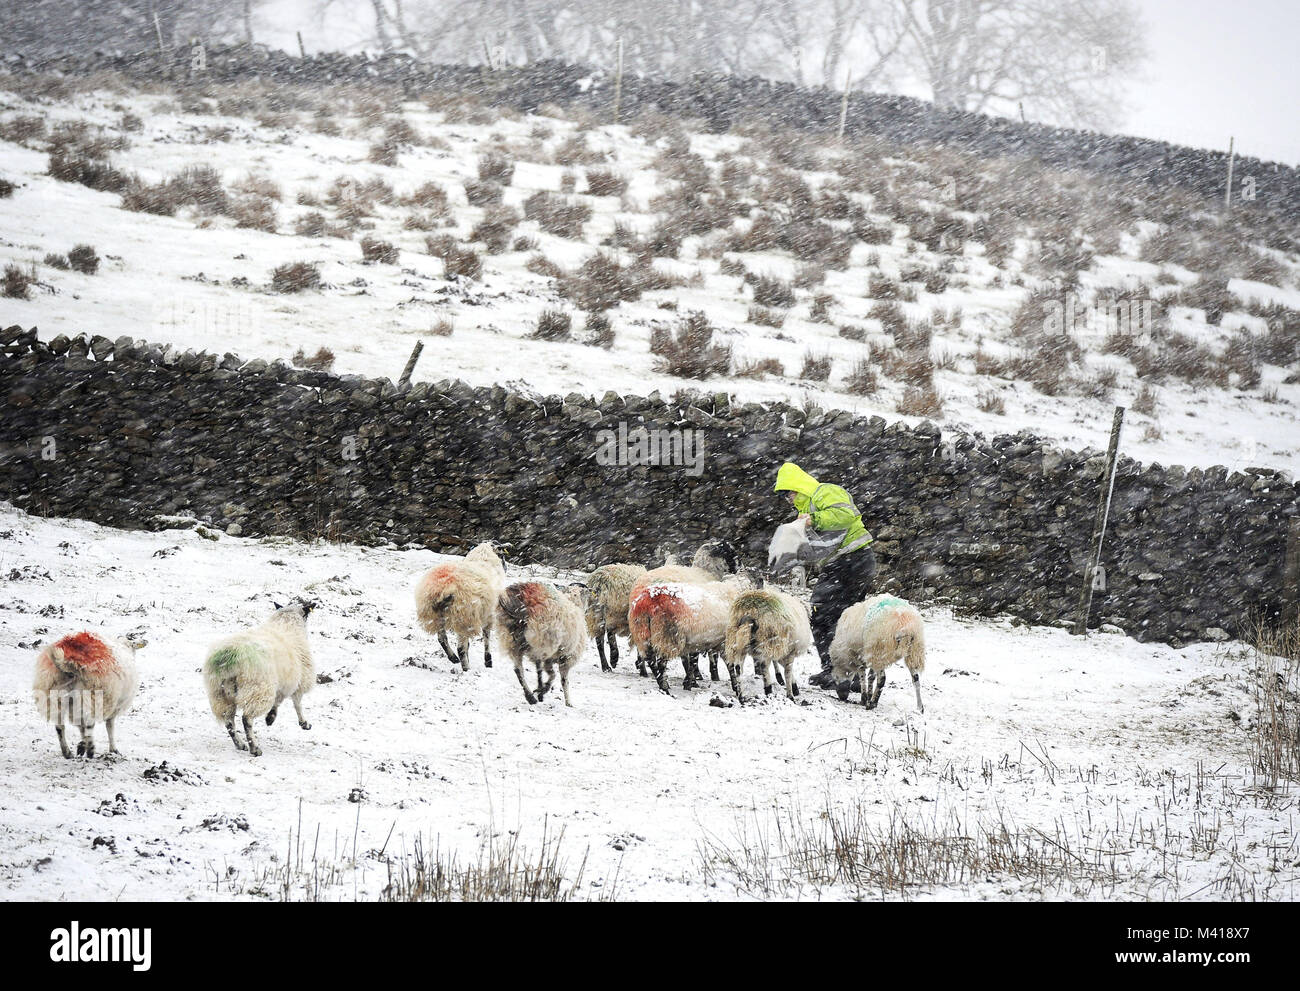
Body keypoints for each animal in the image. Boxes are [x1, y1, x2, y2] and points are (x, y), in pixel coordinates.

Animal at [32, 629, 143, 759]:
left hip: (52, 694)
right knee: (89, 723)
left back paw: (67, 752)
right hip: (93, 695)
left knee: (60, 726)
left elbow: (81, 726)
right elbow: (109, 727)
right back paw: (90, 749)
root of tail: (68, 659)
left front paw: (81, 746)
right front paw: (113, 749)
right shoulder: (114, 705)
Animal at [202, 595, 317, 754]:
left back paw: (240, 744)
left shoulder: (283, 682)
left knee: (229, 722)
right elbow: (296, 704)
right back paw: (254, 748)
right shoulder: (298, 682)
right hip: (257, 688)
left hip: (219, 693)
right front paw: (303, 723)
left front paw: (271, 717)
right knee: (246, 718)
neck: (287, 626)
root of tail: (230, 656)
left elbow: (279, 700)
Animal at [413, 541, 504, 671]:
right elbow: (486, 637)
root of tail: (443, 587)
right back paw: (466, 668)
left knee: (442, 639)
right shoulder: (489, 614)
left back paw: (453, 658)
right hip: (463, 617)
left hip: (434, 616)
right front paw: (488, 662)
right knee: (460, 648)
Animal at [493, 574, 587, 707]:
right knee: (540, 669)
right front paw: (567, 702)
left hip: (511, 640)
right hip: (543, 641)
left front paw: (541, 690)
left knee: (519, 670)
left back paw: (530, 696)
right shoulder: (566, 659)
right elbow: (562, 680)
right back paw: (539, 692)